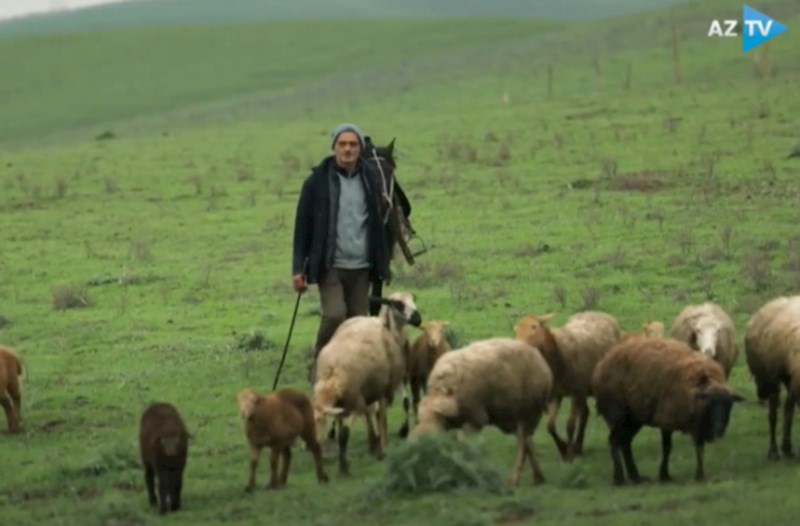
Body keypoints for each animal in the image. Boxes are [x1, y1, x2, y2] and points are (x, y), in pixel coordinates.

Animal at [312, 292, 424, 478]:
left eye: (413, 300)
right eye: (398, 304)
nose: (418, 319)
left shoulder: (364, 396)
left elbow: (346, 434)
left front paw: (344, 467)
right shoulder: (350, 401)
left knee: (378, 413)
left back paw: (378, 444)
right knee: (372, 413)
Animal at [410, 340, 552, 488]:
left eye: (435, 416)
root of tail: (539, 356)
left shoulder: (476, 419)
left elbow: (466, 447)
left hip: (530, 411)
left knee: (522, 443)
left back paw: (514, 479)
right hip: (511, 415)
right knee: (527, 441)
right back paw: (538, 477)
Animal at [512, 312, 624, 464]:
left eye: (534, 326)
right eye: (516, 330)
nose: (519, 347)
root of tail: (596, 312)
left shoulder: (575, 391)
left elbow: (570, 425)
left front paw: (569, 454)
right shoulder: (555, 395)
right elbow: (550, 425)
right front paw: (563, 449)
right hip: (583, 389)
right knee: (585, 412)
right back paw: (579, 446)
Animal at [592, 338, 748, 486]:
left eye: (729, 405)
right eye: (711, 404)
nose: (720, 428)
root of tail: (601, 366)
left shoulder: (698, 424)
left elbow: (699, 448)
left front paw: (700, 476)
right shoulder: (667, 417)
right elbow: (667, 448)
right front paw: (664, 476)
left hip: (633, 418)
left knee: (625, 443)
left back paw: (636, 477)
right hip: (617, 413)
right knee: (614, 441)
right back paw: (619, 478)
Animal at [740, 294, 800, 460]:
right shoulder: (775, 378)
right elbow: (775, 414)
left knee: (787, 409)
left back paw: (786, 448)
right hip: (772, 378)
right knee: (774, 412)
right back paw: (775, 450)